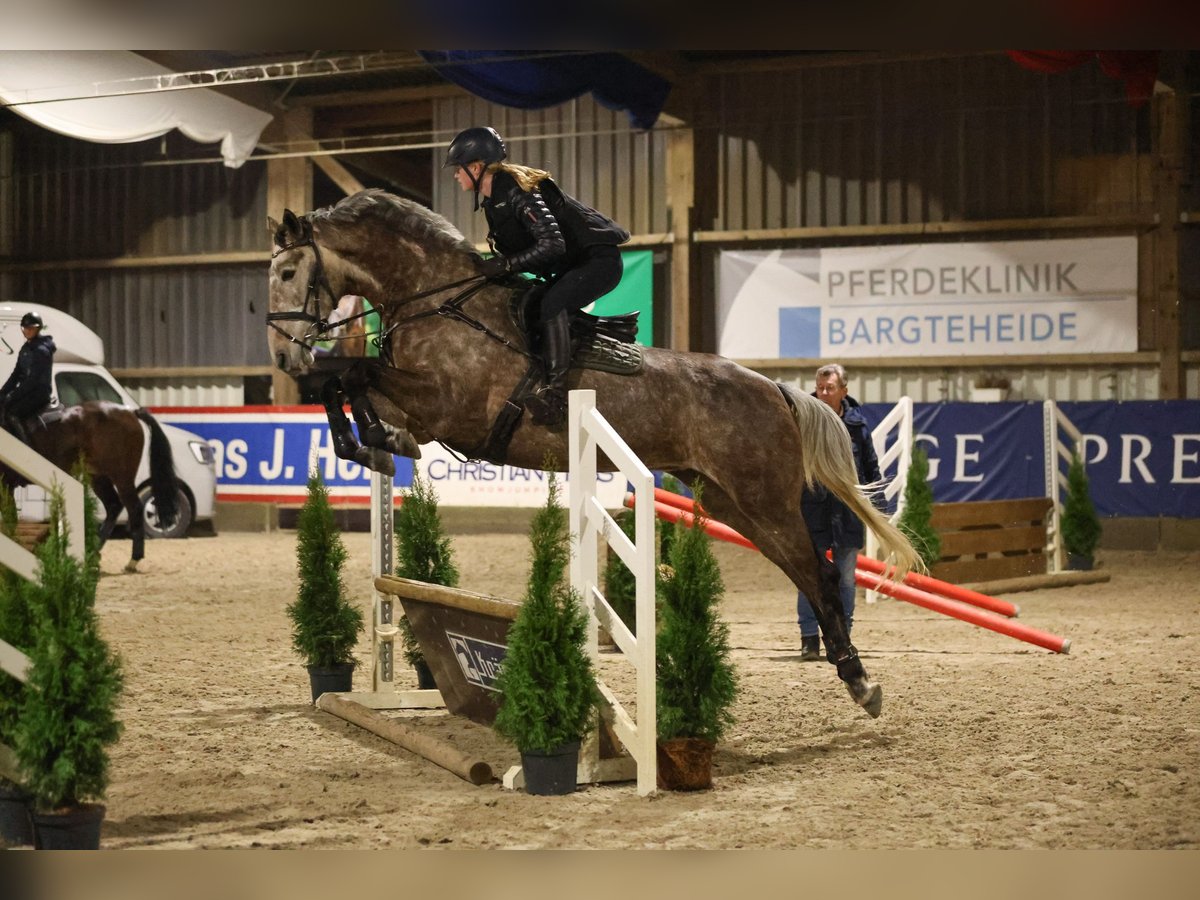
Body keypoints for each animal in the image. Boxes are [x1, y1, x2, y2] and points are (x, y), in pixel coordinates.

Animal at [1, 403, 177, 573]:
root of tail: (130, 412)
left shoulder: (6, 485)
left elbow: (10, 521)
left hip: (122, 477)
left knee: (133, 508)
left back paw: (132, 560)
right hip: (97, 476)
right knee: (114, 505)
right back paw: (92, 554)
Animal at [265, 188, 916, 720]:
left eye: (291, 271)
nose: (284, 358)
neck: (436, 300)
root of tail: (775, 389)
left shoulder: (449, 406)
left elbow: (351, 373)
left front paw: (371, 443)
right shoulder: (420, 407)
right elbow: (345, 383)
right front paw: (373, 445)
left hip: (764, 498)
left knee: (819, 571)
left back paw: (861, 682)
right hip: (733, 504)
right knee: (803, 571)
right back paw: (851, 673)